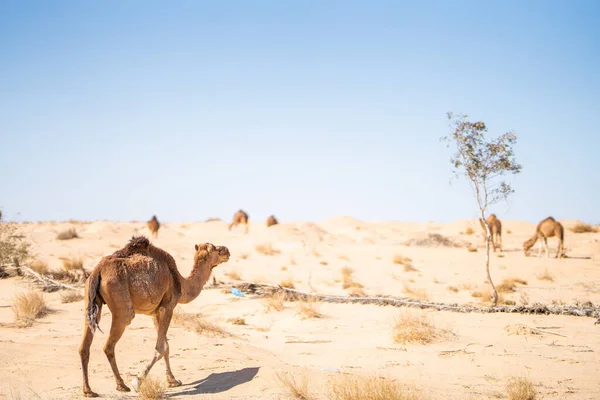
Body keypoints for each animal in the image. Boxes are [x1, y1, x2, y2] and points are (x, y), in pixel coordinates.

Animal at [78, 236, 231, 396]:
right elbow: (160, 348)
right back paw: (121, 385)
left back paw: (88, 390)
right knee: (109, 345)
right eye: (215, 248)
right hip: (121, 304)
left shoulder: (155, 312)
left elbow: (166, 346)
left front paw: (173, 380)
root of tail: (97, 271)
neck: (181, 283)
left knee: (84, 346)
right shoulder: (168, 307)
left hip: (91, 300)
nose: (227, 250)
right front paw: (138, 381)